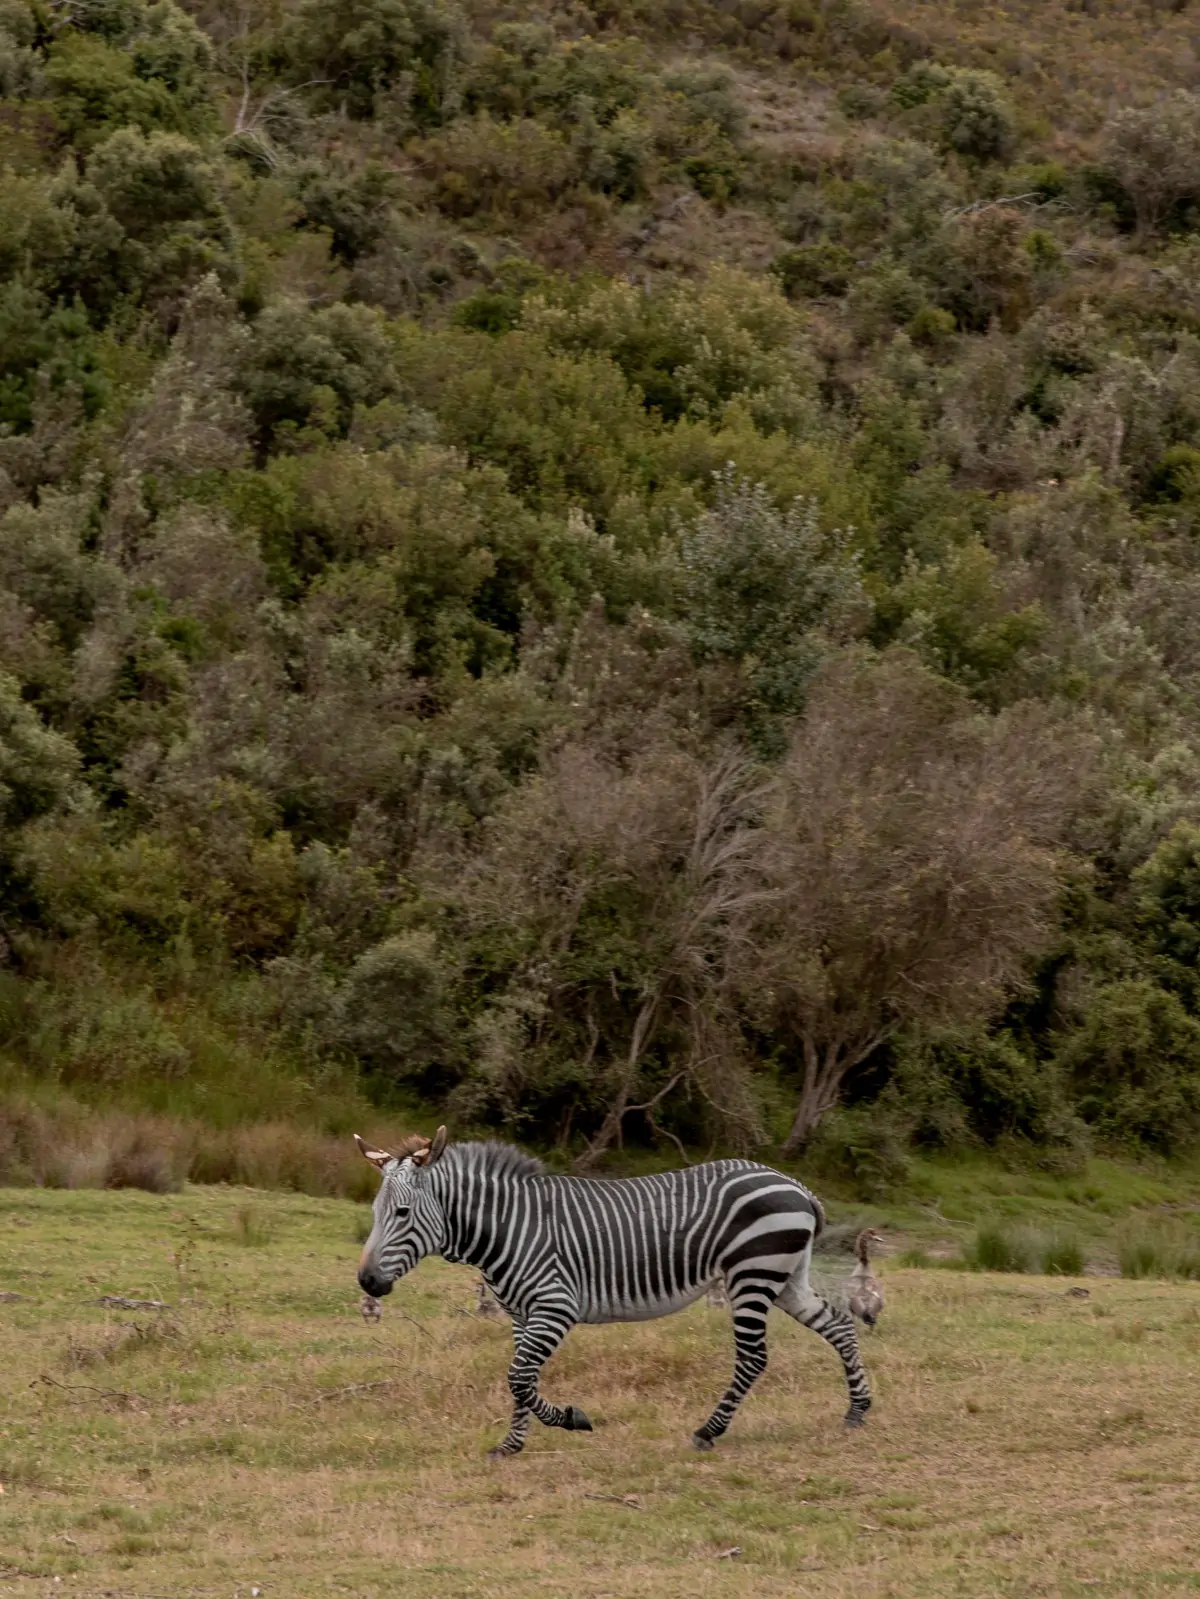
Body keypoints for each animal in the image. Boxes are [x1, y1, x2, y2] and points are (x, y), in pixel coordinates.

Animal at [352, 1132, 870, 1458]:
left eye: (401, 1213)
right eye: (375, 1211)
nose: (367, 1284)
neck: (508, 1228)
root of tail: (795, 1184)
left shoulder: (555, 1307)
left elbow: (519, 1378)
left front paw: (572, 1419)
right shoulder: (521, 1314)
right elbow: (521, 1378)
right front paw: (512, 1444)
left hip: (752, 1275)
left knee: (753, 1358)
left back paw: (708, 1431)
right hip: (785, 1278)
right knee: (841, 1325)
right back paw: (857, 1411)